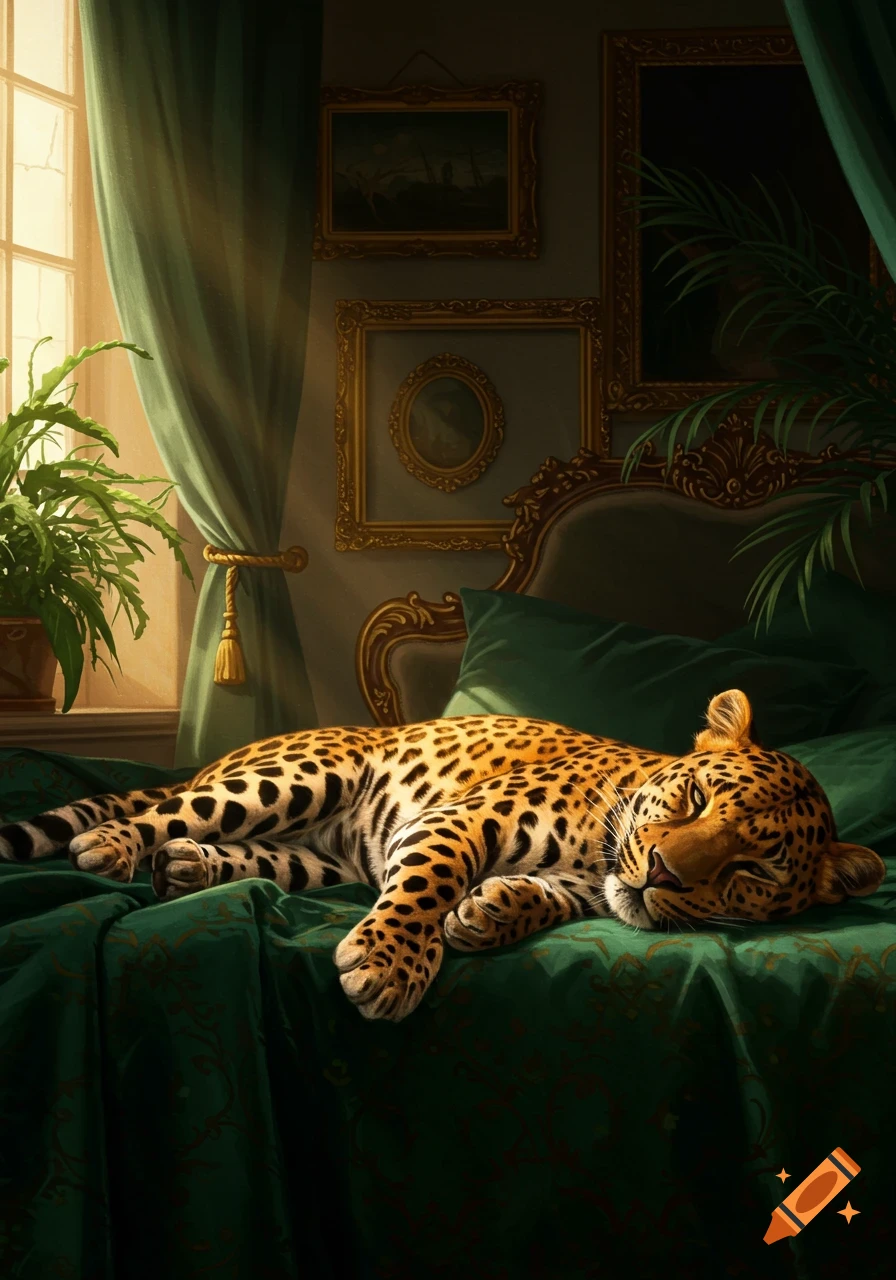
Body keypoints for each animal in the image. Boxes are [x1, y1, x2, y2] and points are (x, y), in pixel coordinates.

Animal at [0, 689, 883, 1021]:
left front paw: (490, 914)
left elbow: (541, 898)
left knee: (242, 852)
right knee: (169, 810)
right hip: (294, 778)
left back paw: (187, 868)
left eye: (750, 870)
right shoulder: (456, 821)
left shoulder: (586, 888)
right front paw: (390, 966)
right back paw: (111, 845)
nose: (665, 872)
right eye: (696, 799)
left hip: (318, 862)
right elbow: (427, 884)